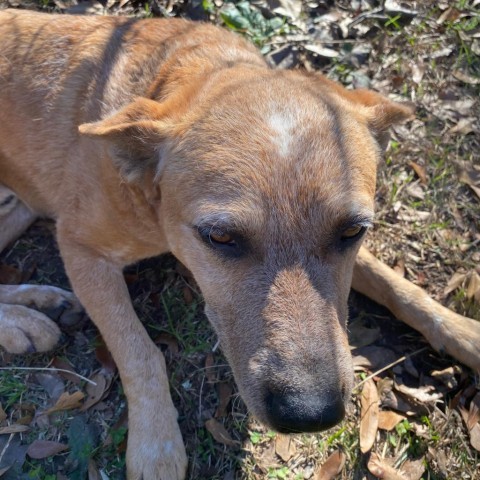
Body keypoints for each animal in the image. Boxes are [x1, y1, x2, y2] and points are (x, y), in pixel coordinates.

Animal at [0, 8, 416, 480]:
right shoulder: (79, 245)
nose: (310, 414)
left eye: (352, 232)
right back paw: (23, 321)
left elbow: (397, 286)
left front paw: (457, 330)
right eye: (220, 237)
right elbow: (139, 350)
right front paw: (156, 445)